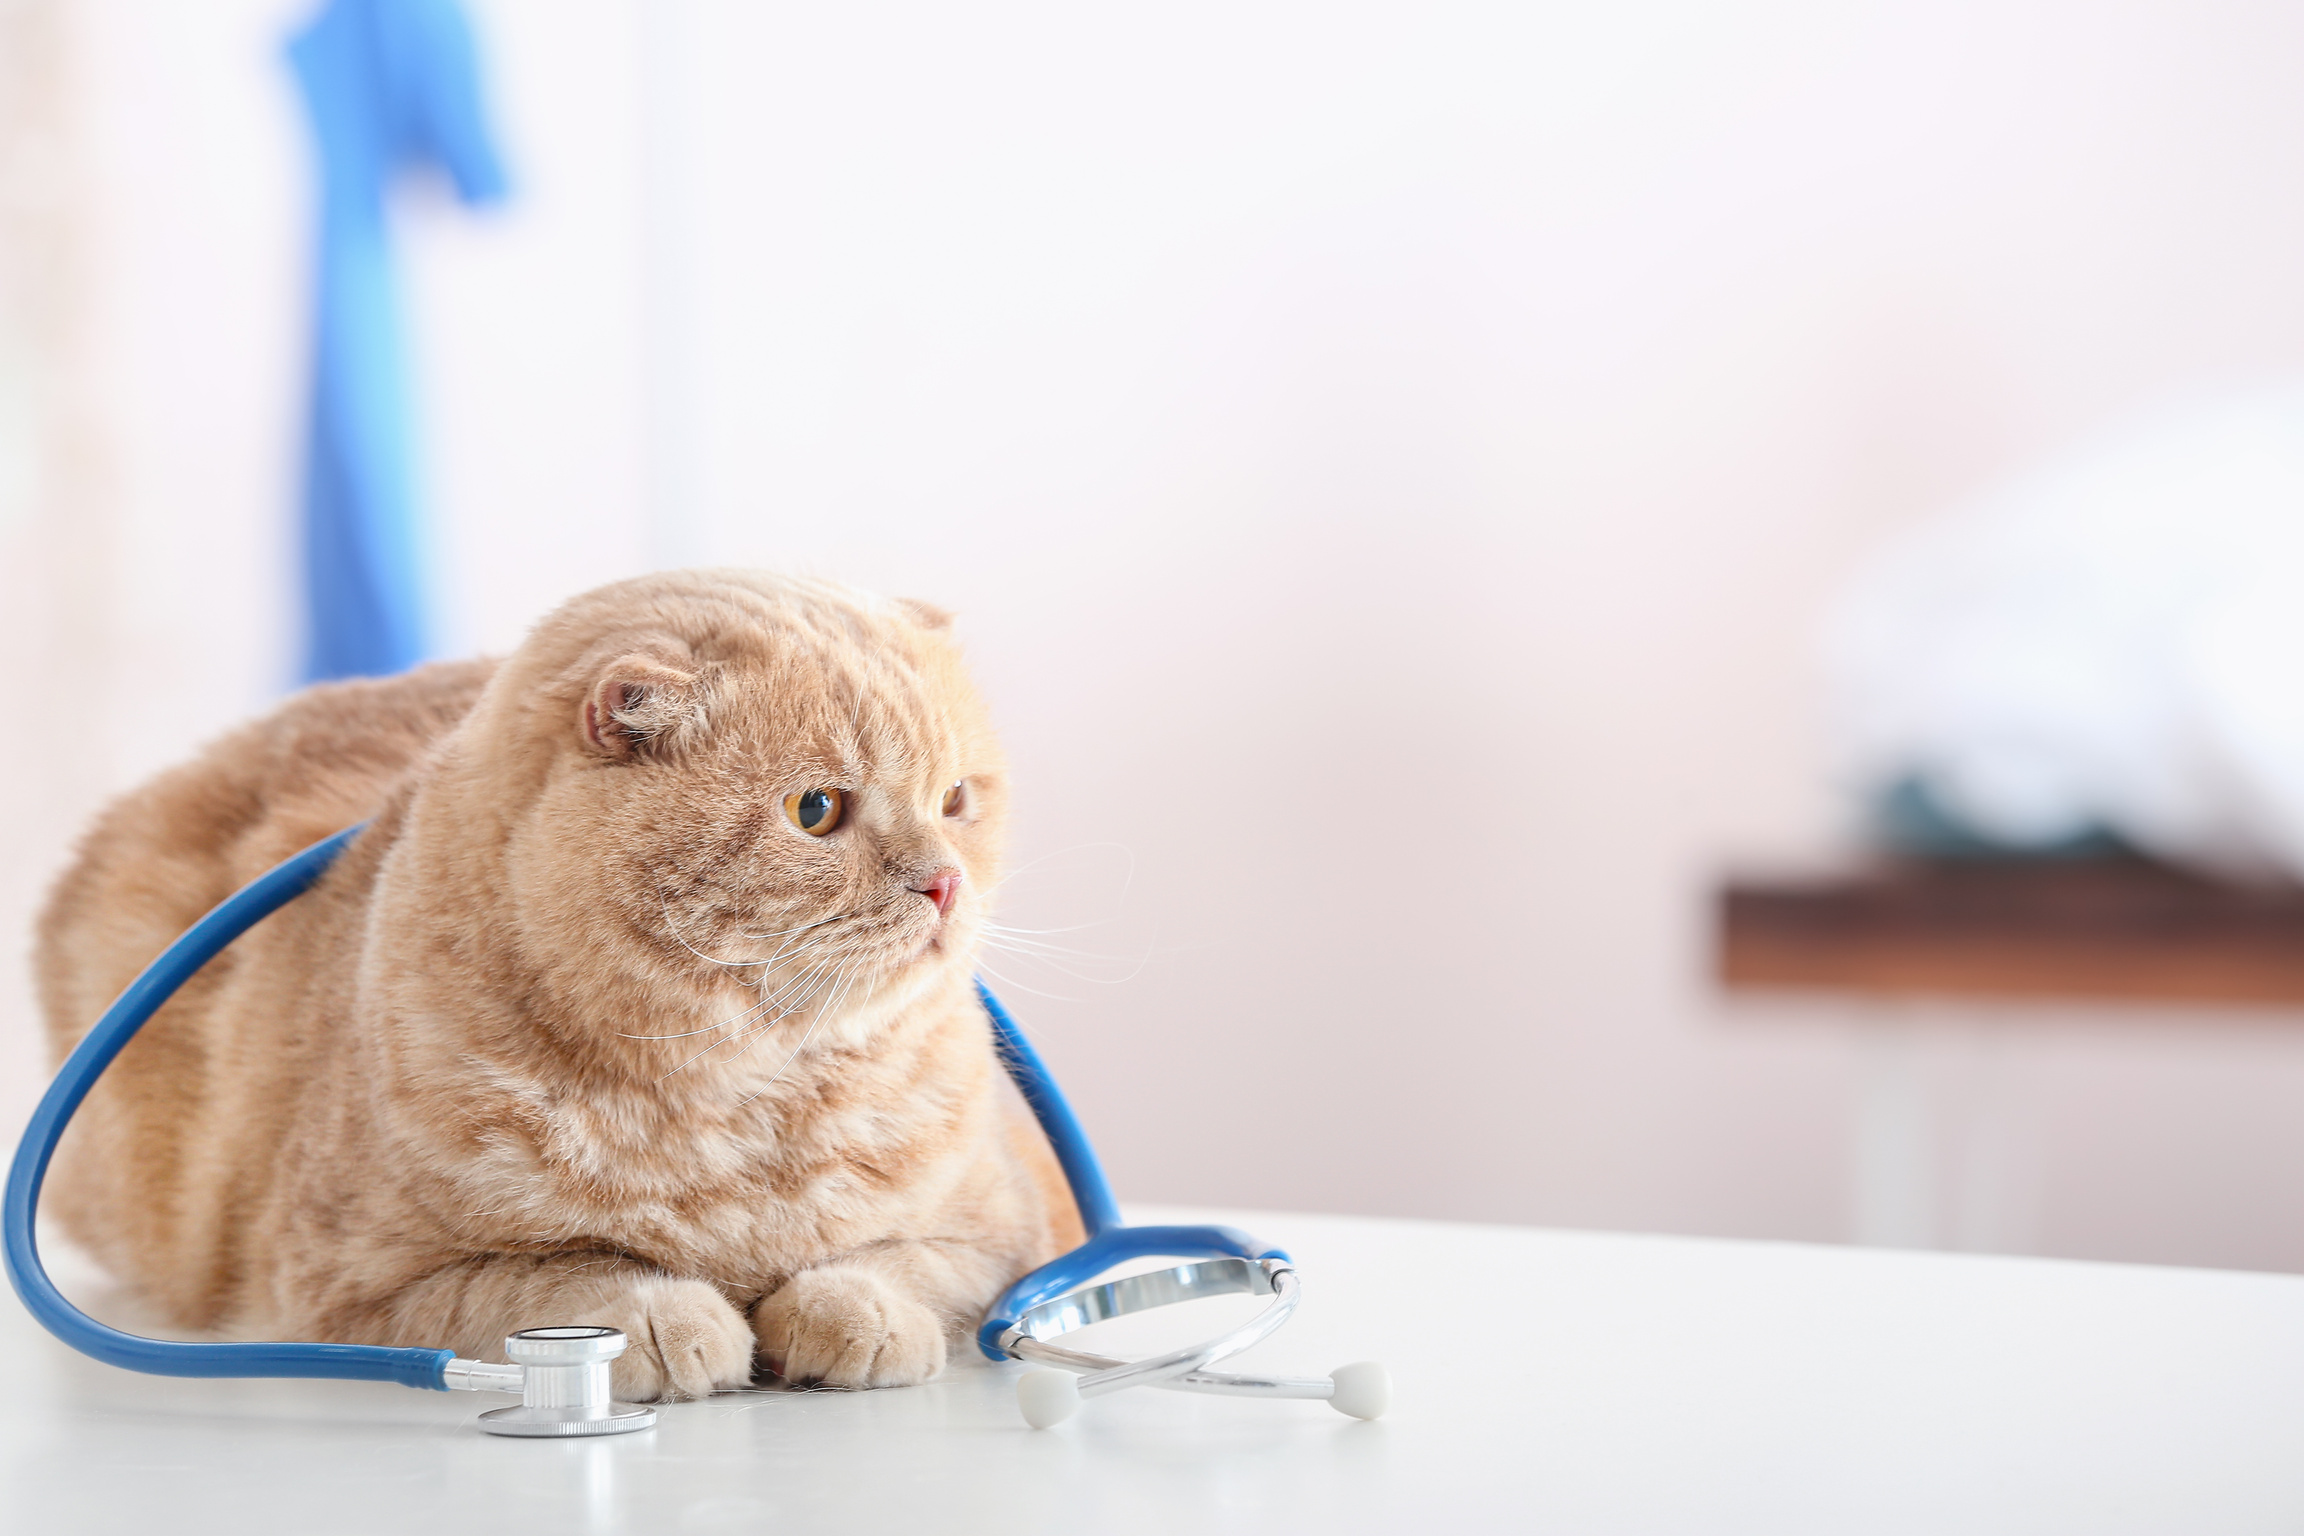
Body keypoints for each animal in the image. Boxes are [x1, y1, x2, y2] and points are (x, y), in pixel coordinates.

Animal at [33, 571, 1078, 1400]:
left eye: (956, 799)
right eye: (815, 811)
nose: (944, 883)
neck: (740, 1107)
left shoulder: (1010, 1235)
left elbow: (901, 1266)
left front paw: (851, 1312)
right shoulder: (357, 1288)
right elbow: (552, 1279)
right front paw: (666, 1319)